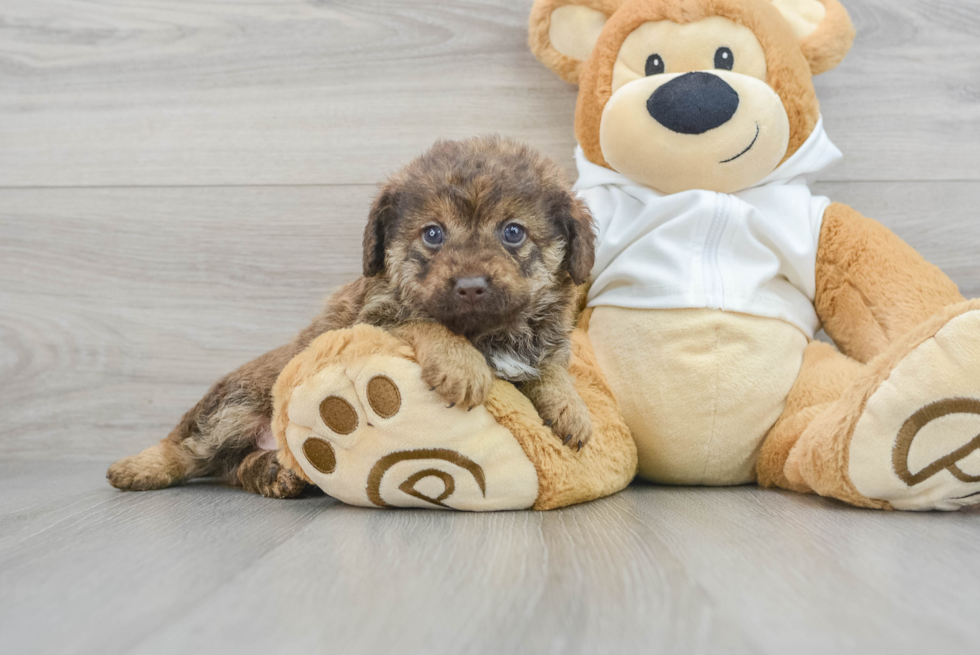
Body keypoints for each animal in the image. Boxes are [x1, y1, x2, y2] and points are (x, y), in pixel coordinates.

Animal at [107, 136, 596, 500]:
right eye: (432, 234)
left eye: (513, 232)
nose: (471, 285)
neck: (488, 330)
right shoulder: (374, 319)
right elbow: (426, 322)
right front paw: (462, 366)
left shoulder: (541, 341)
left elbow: (550, 368)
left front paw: (571, 409)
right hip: (233, 406)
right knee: (187, 447)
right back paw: (137, 468)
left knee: (237, 466)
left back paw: (276, 474)